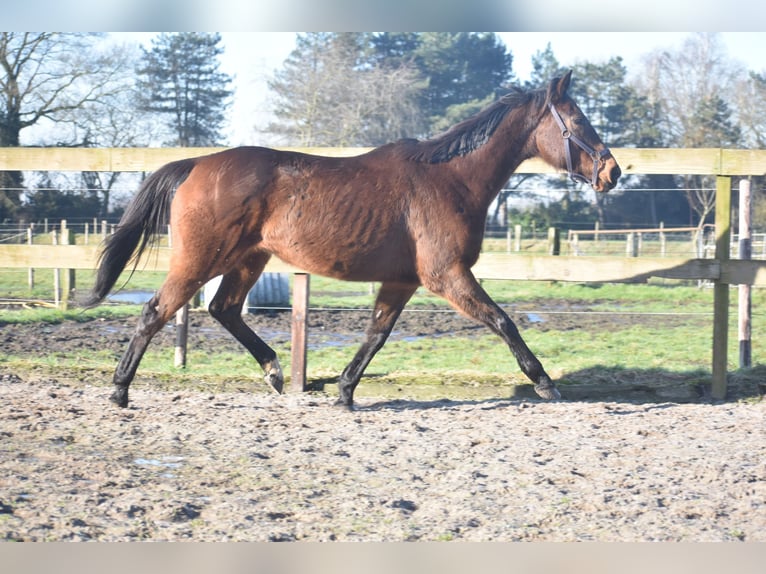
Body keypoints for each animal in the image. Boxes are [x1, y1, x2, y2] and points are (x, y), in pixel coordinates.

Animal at [85, 72, 624, 412]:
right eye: (578, 122)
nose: (613, 172)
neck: (450, 179)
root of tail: (196, 163)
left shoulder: (403, 280)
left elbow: (376, 334)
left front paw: (344, 391)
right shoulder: (446, 275)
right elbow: (502, 321)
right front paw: (546, 384)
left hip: (248, 260)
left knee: (224, 310)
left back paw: (275, 373)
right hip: (201, 260)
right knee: (156, 311)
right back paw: (120, 391)